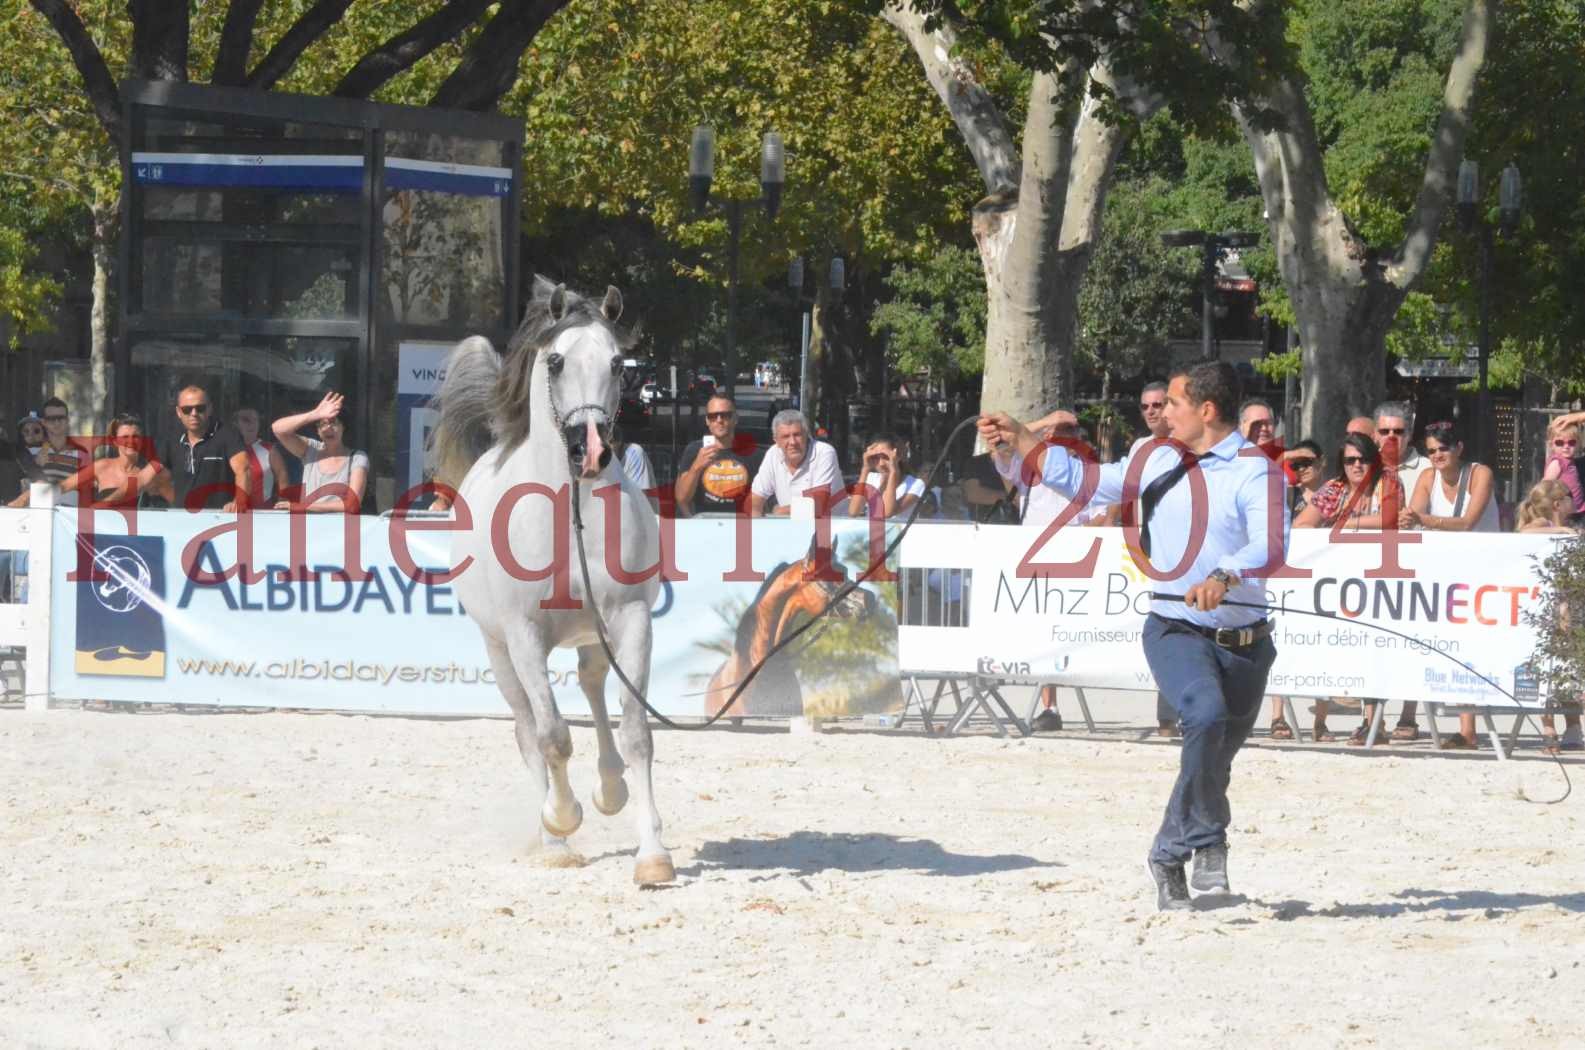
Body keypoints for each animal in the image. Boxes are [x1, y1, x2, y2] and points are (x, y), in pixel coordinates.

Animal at [431, 275, 672, 881]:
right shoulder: (523, 636)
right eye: (557, 361)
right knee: (527, 729)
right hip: (499, 651)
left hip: (593, 636)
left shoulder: (631, 621)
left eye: (618, 364)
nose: (592, 450)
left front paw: (653, 855)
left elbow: (636, 733)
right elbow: (552, 737)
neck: (568, 513)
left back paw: (610, 790)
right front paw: (562, 820)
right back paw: (552, 839)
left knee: (591, 686)